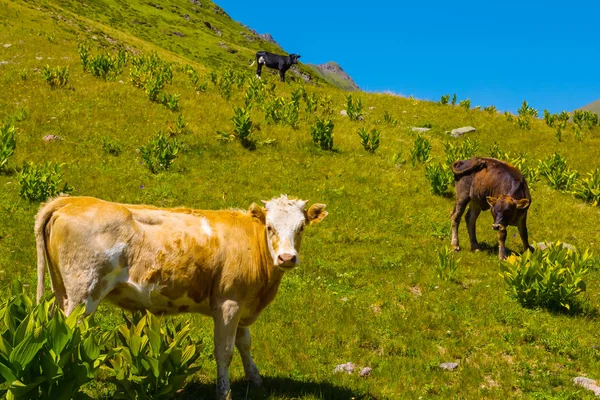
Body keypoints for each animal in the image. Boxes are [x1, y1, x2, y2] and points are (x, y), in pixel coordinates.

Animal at [35, 195, 328, 400]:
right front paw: (224, 392)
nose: (287, 258)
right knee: (70, 336)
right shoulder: (228, 303)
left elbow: (245, 343)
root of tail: (72, 200)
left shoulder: (243, 304)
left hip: (63, 292)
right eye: (269, 227)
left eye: (301, 227)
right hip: (83, 294)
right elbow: (225, 351)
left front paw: (255, 380)